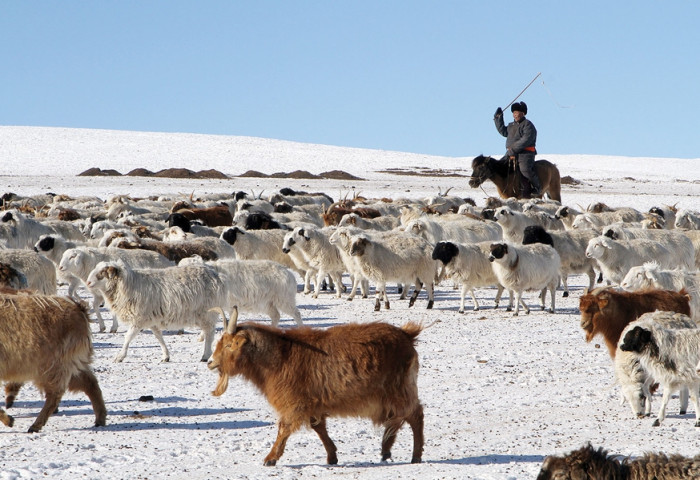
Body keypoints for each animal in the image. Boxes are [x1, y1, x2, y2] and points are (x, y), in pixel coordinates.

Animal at [0, 290, 106, 434]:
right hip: (71, 364)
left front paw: (9, 420)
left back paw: (35, 425)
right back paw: (100, 419)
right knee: (90, 383)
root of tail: (78, 307)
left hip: (53, 365)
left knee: (55, 394)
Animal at [84, 262, 227, 360]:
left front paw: (120, 356)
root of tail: (216, 275)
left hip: (206, 312)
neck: (127, 285)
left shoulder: (139, 318)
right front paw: (166, 356)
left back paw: (205, 355)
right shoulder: (151, 318)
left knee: (209, 333)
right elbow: (158, 336)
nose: (88, 282)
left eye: (102, 272)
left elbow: (128, 337)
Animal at [208, 310, 424, 466]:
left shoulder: (294, 402)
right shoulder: (312, 403)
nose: (210, 362)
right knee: (397, 418)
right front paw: (332, 456)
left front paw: (270, 458)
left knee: (414, 414)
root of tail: (407, 335)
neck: (280, 356)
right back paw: (386, 449)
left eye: (228, 345)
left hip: (399, 389)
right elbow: (318, 427)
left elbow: (284, 428)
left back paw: (415, 455)